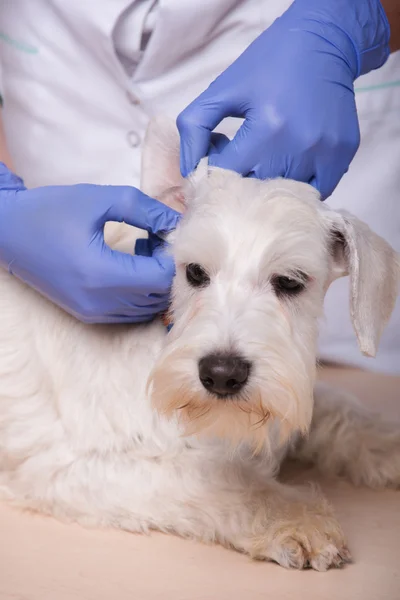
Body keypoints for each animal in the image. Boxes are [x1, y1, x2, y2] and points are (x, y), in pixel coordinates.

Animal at [0, 118, 400, 572]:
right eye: (194, 272)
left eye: (290, 282)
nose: (222, 374)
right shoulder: (68, 466)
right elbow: (217, 480)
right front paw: (294, 517)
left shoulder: (287, 394)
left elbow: (339, 411)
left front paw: (387, 445)